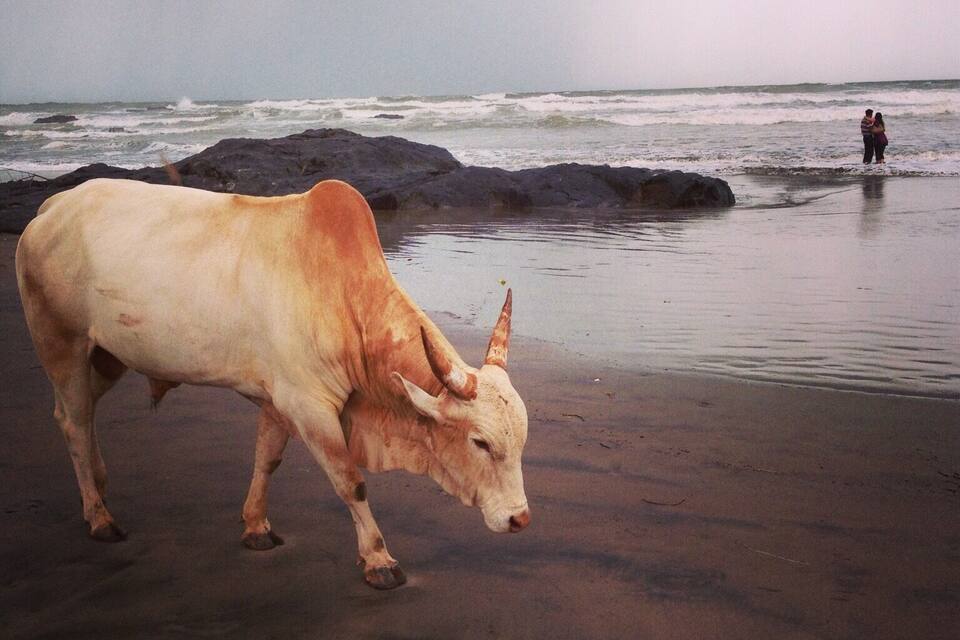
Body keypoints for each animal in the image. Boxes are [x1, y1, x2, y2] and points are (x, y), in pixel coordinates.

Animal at [15, 178, 530, 590]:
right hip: (61, 342)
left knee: (78, 413)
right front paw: (379, 559)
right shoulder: (309, 405)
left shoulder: (279, 400)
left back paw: (99, 490)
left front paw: (256, 527)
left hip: (106, 356)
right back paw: (100, 517)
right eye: (480, 442)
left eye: (521, 442)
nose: (519, 518)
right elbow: (351, 483)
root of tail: (52, 207)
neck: (341, 298)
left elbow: (267, 460)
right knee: (74, 421)